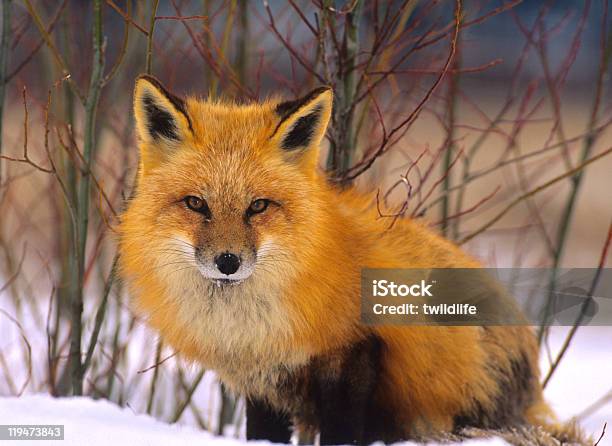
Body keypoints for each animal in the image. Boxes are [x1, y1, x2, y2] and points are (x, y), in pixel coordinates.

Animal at [118, 75, 584, 444]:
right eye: (196, 204)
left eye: (258, 206)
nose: (228, 262)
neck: (250, 323)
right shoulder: (264, 378)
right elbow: (264, 434)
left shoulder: (355, 351)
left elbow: (342, 429)